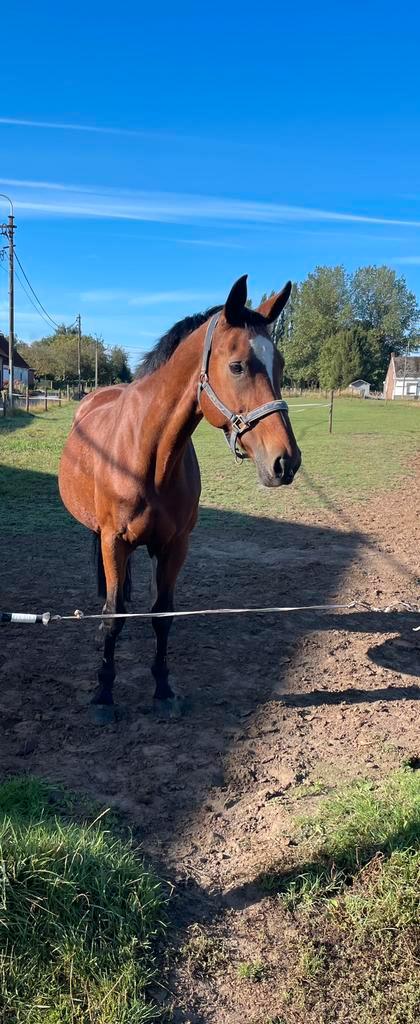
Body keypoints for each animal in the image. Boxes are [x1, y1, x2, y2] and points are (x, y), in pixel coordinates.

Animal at [58, 275, 301, 721]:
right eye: (237, 365)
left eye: (279, 365)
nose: (285, 462)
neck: (150, 455)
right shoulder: (114, 541)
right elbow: (113, 618)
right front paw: (103, 695)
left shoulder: (175, 546)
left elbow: (163, 616)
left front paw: (163, 690)